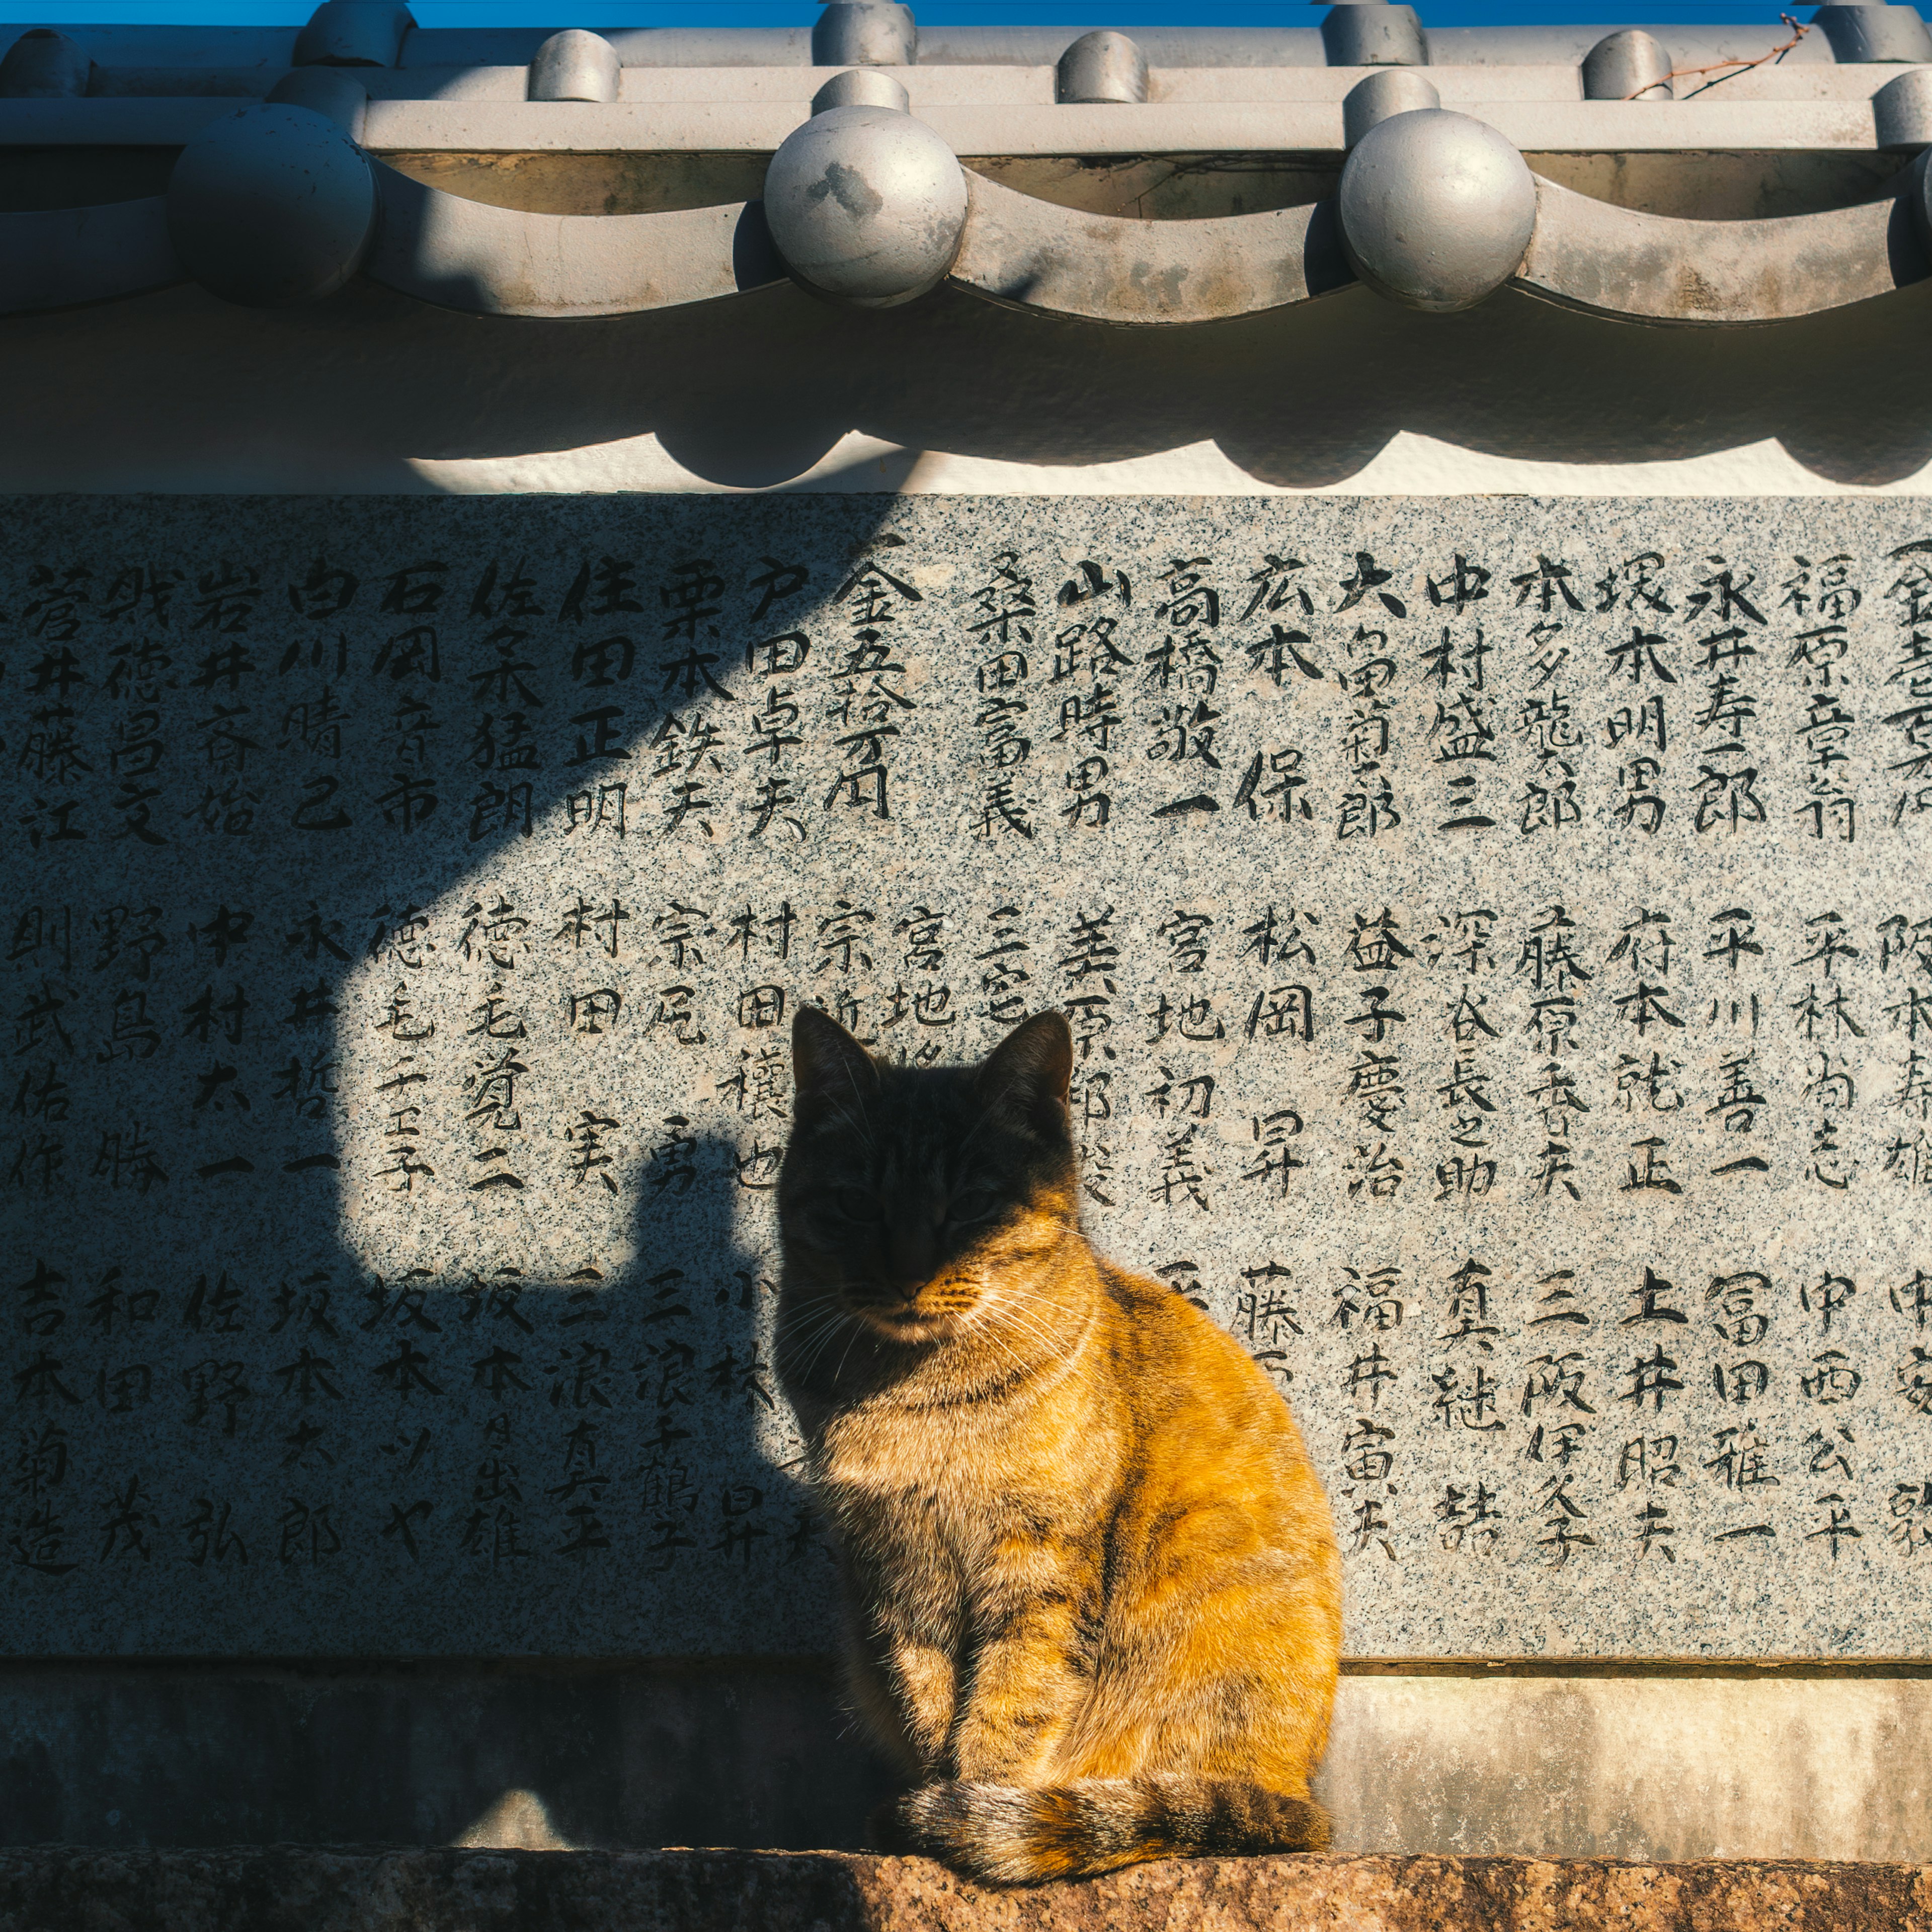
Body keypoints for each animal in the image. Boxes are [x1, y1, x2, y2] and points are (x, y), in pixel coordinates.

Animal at [769, 1004, 1344, 1878]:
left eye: (973, 1205)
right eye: (859, 1203)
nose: (910, 1273)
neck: (917, 1397)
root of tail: (1304, 1797)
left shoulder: (1038, 1559)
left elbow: (1011, 1704)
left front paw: (970, 1813)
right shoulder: (894, 1569)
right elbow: (927, 1699)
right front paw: (937, 1809)